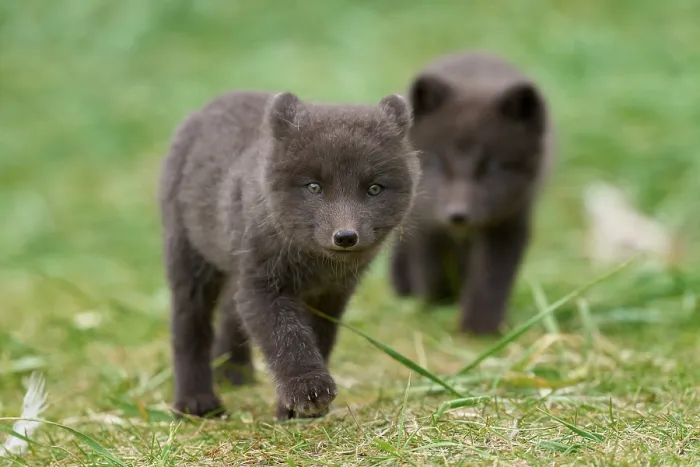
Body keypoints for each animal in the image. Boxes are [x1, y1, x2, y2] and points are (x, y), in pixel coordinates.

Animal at [158, 90, 420, 420]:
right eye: (314, 186)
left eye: (374, 188)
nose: (345, 236)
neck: (316, 266)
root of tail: (212, 103)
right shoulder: (261, 284)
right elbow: (286, 337)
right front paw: (308, 391)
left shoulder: (332, 295)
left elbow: (319, 339)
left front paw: (293, 409)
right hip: (187, 254)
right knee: (189, 325)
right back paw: (196, 402)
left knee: (231, 310)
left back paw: (234, 375)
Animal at [390, 51, 555, 335]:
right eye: (436, 163)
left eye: (494, 166)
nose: (458, 215)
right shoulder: (425, 217)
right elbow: (431, 267)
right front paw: (435, 303)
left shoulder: (510, 219)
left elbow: (493, 276)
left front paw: (480, 328)